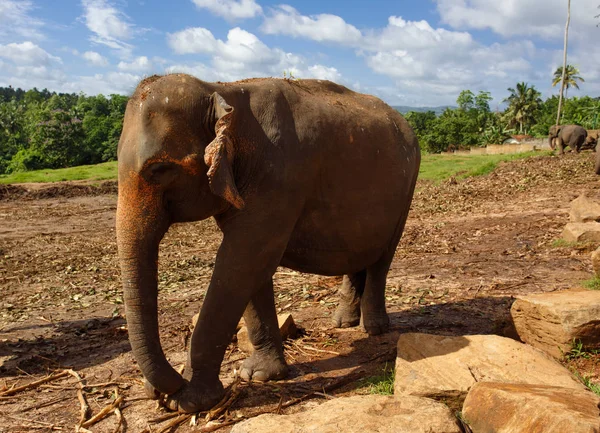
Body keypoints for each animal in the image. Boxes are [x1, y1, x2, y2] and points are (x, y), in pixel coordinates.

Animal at [115, 73, 420, 412]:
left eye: (160, 170)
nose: (158, 392)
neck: (220, 89)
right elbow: (251, 266)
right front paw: (259, 375)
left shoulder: (279, 178)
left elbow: (243, 260)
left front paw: (191, 399)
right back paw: (343, 323)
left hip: (407, 189)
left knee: (383, 258)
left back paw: (374, 328)